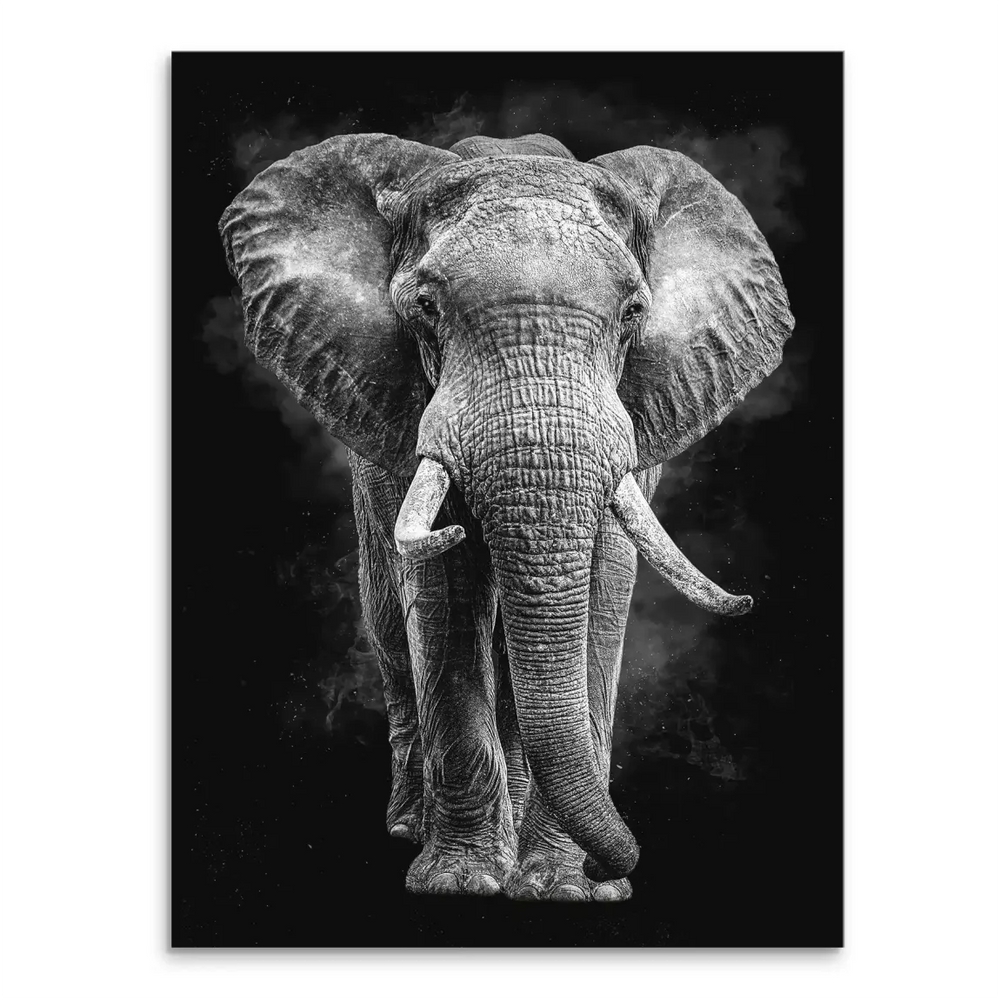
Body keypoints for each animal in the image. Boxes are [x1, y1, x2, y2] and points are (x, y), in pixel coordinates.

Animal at [219, 130, 794, 902]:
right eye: (426, 308)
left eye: (634, 313)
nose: (612, 866)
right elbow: (444, 596)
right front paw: (459, 882)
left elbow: (602, 588)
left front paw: (569, 888)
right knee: (390, 623)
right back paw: (412, 828)